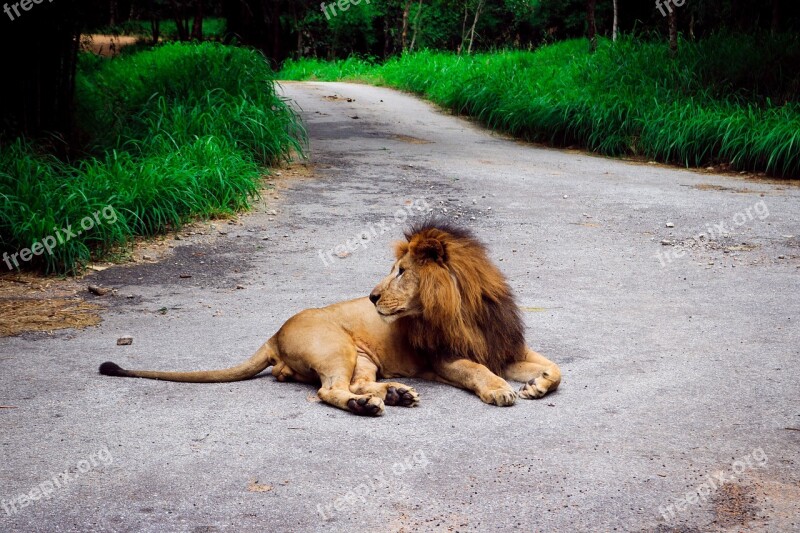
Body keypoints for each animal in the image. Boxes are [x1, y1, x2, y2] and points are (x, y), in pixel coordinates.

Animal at [98, 220, 564, 416]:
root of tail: (273, 334)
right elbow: (476, 370)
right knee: (330, 390)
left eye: (401, 272)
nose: (372, 296)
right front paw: (500, 389)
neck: (465, 307)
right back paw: (368, 405)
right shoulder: (443, 359)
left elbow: (556, 368)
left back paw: (395, 393)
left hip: (364, 358)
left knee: (352, 383)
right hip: (337, 346)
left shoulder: (506, 346)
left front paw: (537, 385)